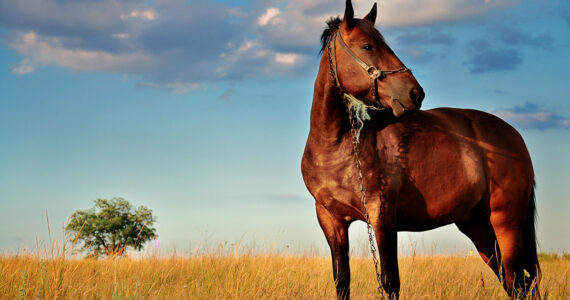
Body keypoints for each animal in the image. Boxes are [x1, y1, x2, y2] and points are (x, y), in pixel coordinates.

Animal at [300, 1, 540, 298]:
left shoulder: (382, 217)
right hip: (478, 226)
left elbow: (390, 281)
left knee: (517, 281)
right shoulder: (331, 220)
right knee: (513, 282)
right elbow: (342, 280)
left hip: (506, 222)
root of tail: (514, 136)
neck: (336, 146)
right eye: (368, 46)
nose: (415, 93)